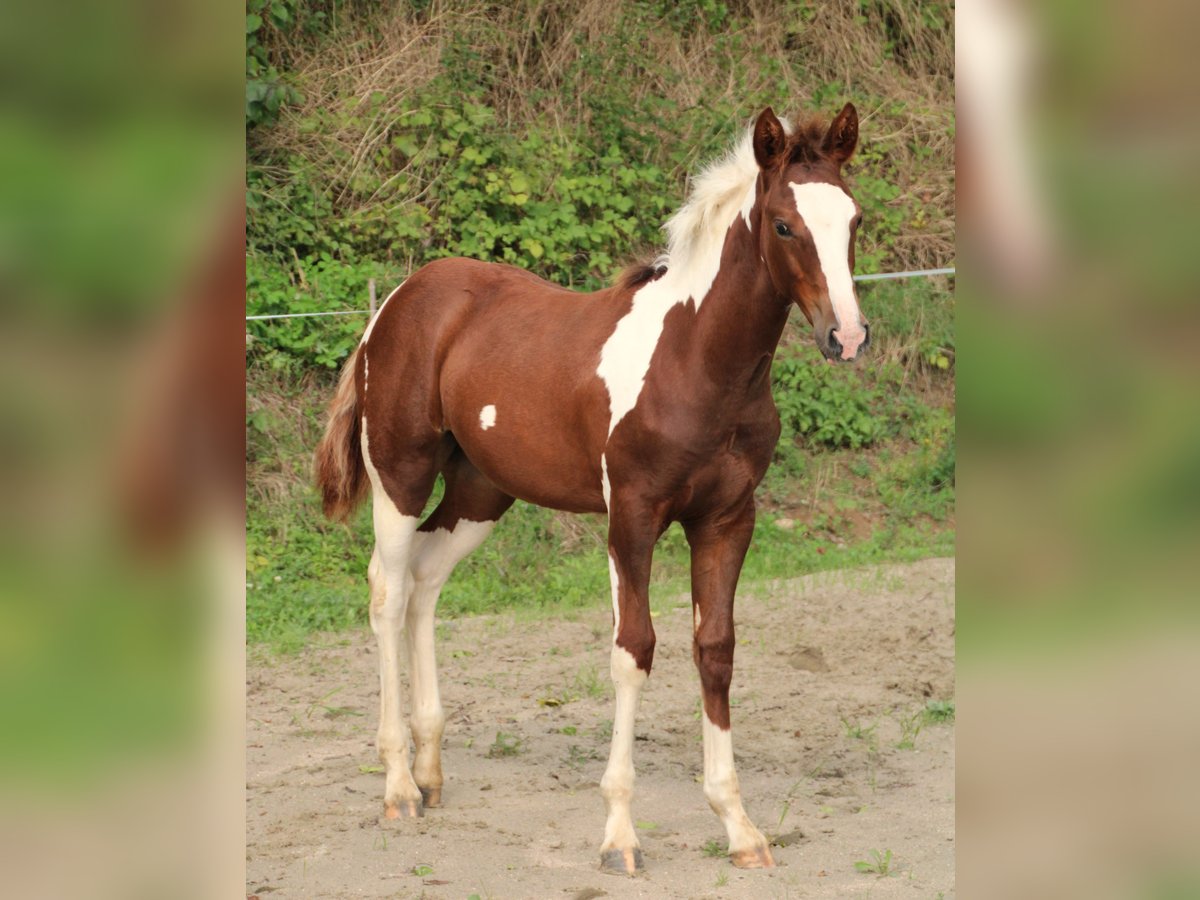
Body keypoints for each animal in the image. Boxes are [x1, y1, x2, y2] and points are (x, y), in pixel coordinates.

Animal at [314, 103, 868, 873]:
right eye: (785, 225)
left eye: (854, 220)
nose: (847, 336)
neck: (696, 358)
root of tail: (393, 305)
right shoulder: (630, 517)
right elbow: (633, 652)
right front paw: (619, 837)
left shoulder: (728, 518)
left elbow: (716, 650)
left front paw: (739, 827)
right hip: (401, 474)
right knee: (387, 591)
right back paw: (397, 786)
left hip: (481, 493)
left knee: (425, 581)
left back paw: (429, 771)